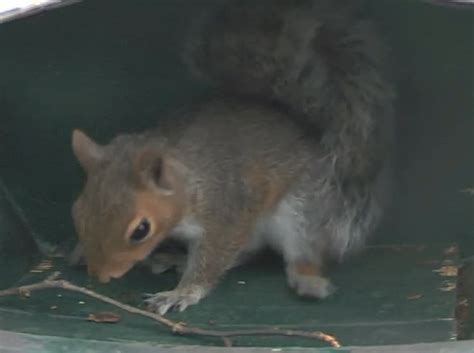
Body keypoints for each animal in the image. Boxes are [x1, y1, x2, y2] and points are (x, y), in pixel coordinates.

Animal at [71, 0, 396, 314]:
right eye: (77, 212)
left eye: (141, 230)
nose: (101, 275)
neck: (191, 182)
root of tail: (307, 131)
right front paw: (78, 250)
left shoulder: (227, 213)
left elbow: (214, 257)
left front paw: (182, 292)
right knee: (247, 251)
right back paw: (178, 260)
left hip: (303, 208)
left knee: (301, 249)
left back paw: (307, 279)